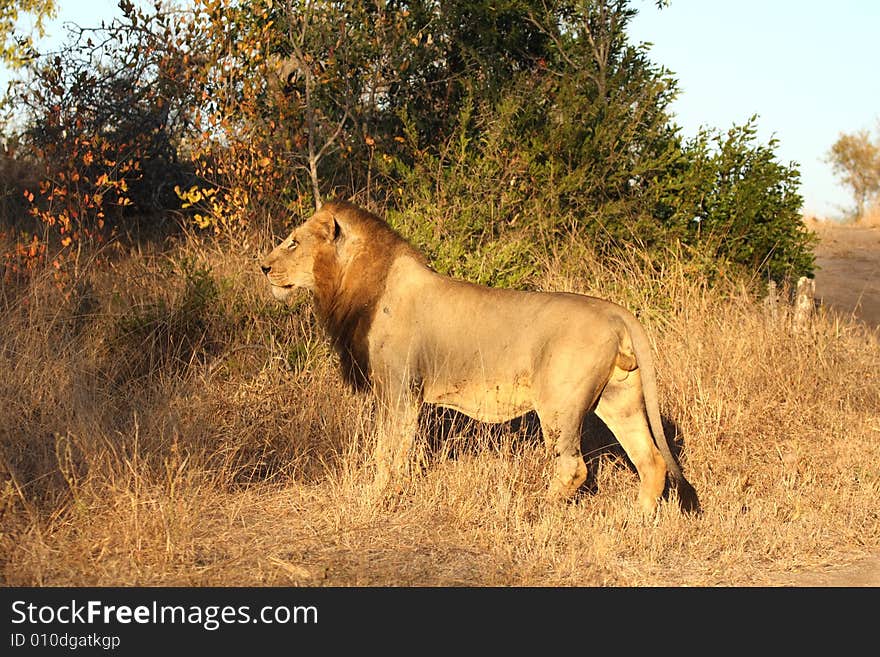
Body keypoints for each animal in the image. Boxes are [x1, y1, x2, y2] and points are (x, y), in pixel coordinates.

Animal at [258, 200, 696, 512]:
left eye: (293, 242)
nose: (262, 267)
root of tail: (615, 311)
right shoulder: (404, 393)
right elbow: (399, 447)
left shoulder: (398, 389)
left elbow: (388, 449)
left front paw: (379, 494)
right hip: (619, 399)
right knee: (652, 461)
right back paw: (637, 520)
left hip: (559, 405)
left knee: (574, 467)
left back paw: (536, 510)